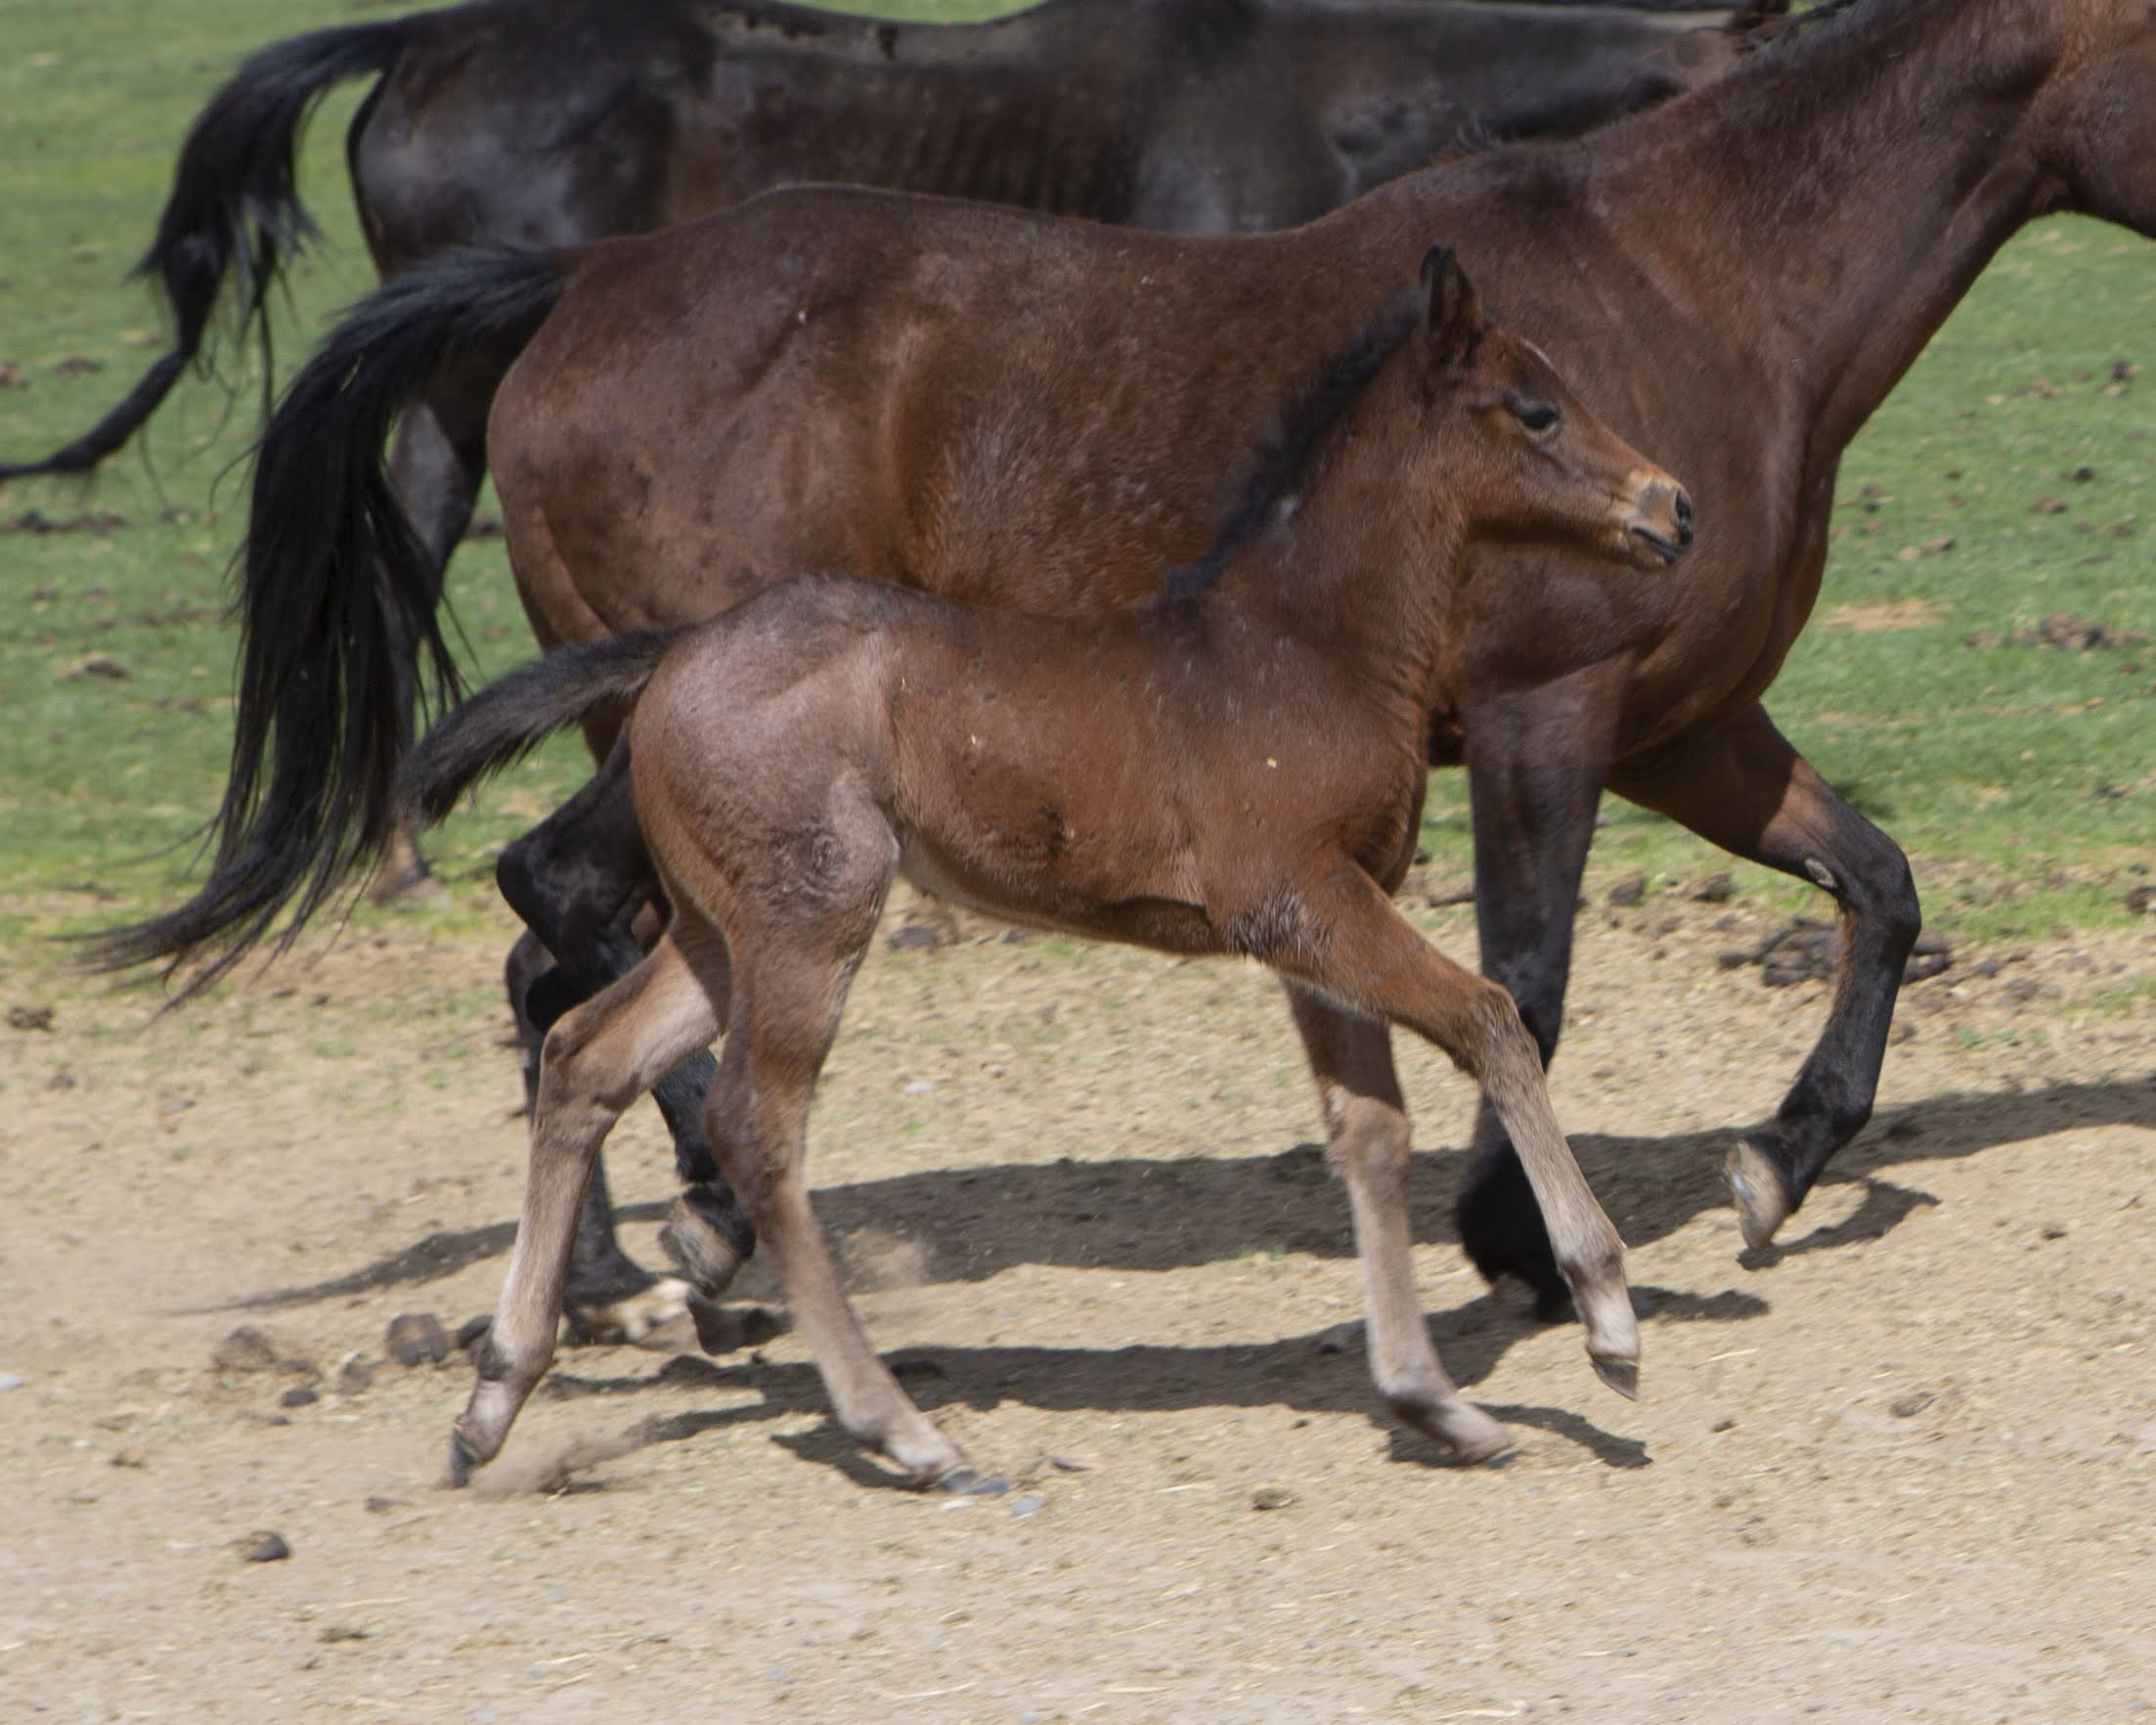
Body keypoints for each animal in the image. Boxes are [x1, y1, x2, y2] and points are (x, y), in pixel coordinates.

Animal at [101, 0, 2156, 1334]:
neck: (1697, 284)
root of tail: (580, 288)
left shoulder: (1689, 722)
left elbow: (1879, 886)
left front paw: (1780, 1159)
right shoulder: (1544, 715)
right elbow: (1529, 977)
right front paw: (1520, 1239)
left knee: (562, 952)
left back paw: (622, 1263)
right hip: (683, 724)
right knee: (571, 921)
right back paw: (699, 1242)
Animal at [396, 251, 1688, 1483]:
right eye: (1536, 411)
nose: (1671, 505)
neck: (1310, 646)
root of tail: (675, 654)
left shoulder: (1324, 927)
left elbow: (1370, 1133)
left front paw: (1433, 1400)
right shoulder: (1298, 904)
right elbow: (1490, 1020)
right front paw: (1606, 1312)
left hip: (721, 932)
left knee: (585, 1058)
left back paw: (495, 1397)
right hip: (815, 916)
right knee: (755, 1124)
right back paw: (897, 1430)